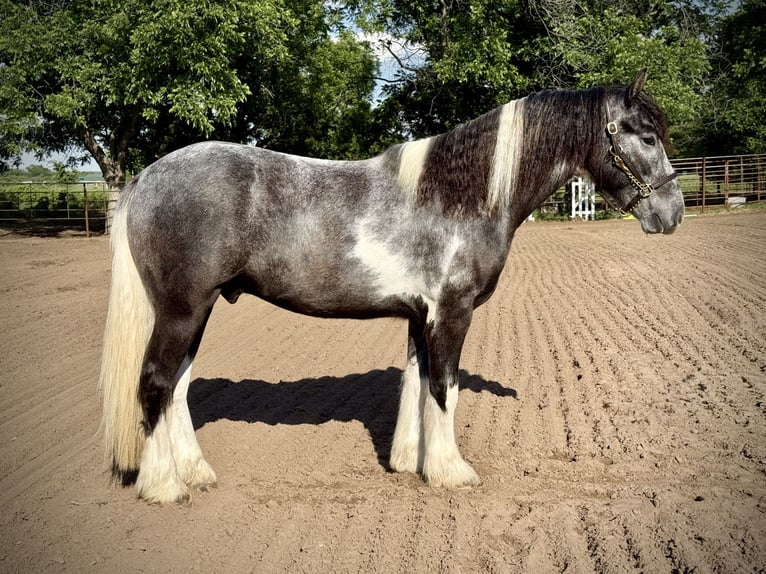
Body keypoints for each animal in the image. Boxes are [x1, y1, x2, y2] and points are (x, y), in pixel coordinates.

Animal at [99, 71, 684, 503]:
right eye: (647, 137)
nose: (672, 213)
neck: (460, 194)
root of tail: (147, 179)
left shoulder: (420, 316)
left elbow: (417, 383)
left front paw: (410, 462)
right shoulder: (452, 312)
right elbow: (444, 388)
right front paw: (452, 472)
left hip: (196, 312)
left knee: (176, 388)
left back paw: (196, 472)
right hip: (181, 311)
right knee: (154, 383)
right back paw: (165, 487)